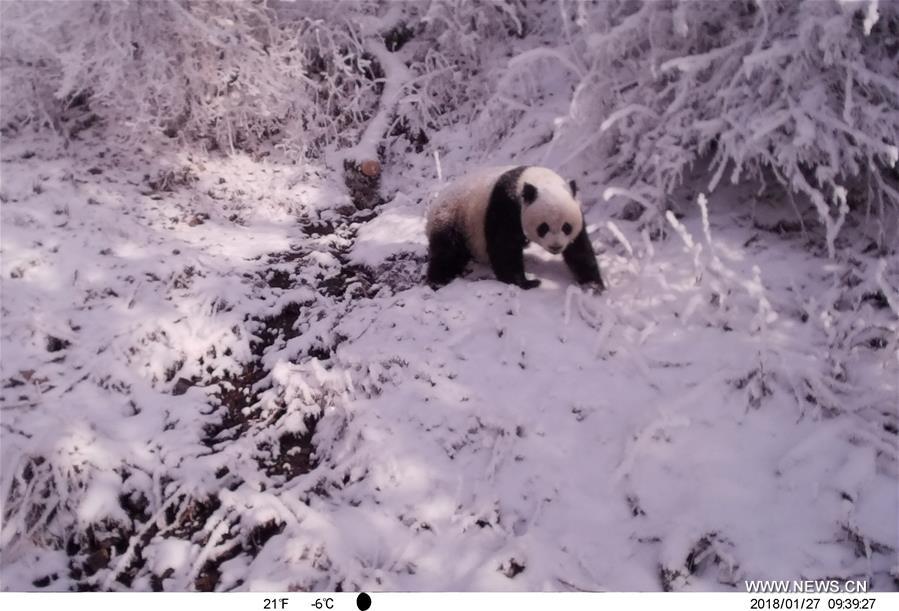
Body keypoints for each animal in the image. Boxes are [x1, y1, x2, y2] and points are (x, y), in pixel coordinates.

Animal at [428, 166, 608, 292]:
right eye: (543, 227)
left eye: (566, 227)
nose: (556, 246)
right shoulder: (505, 204)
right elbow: (504, 248)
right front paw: (527, 283)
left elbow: (579, 248)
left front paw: (593, 285)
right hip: (453, 217)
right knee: (447, 252)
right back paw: (439, 281)